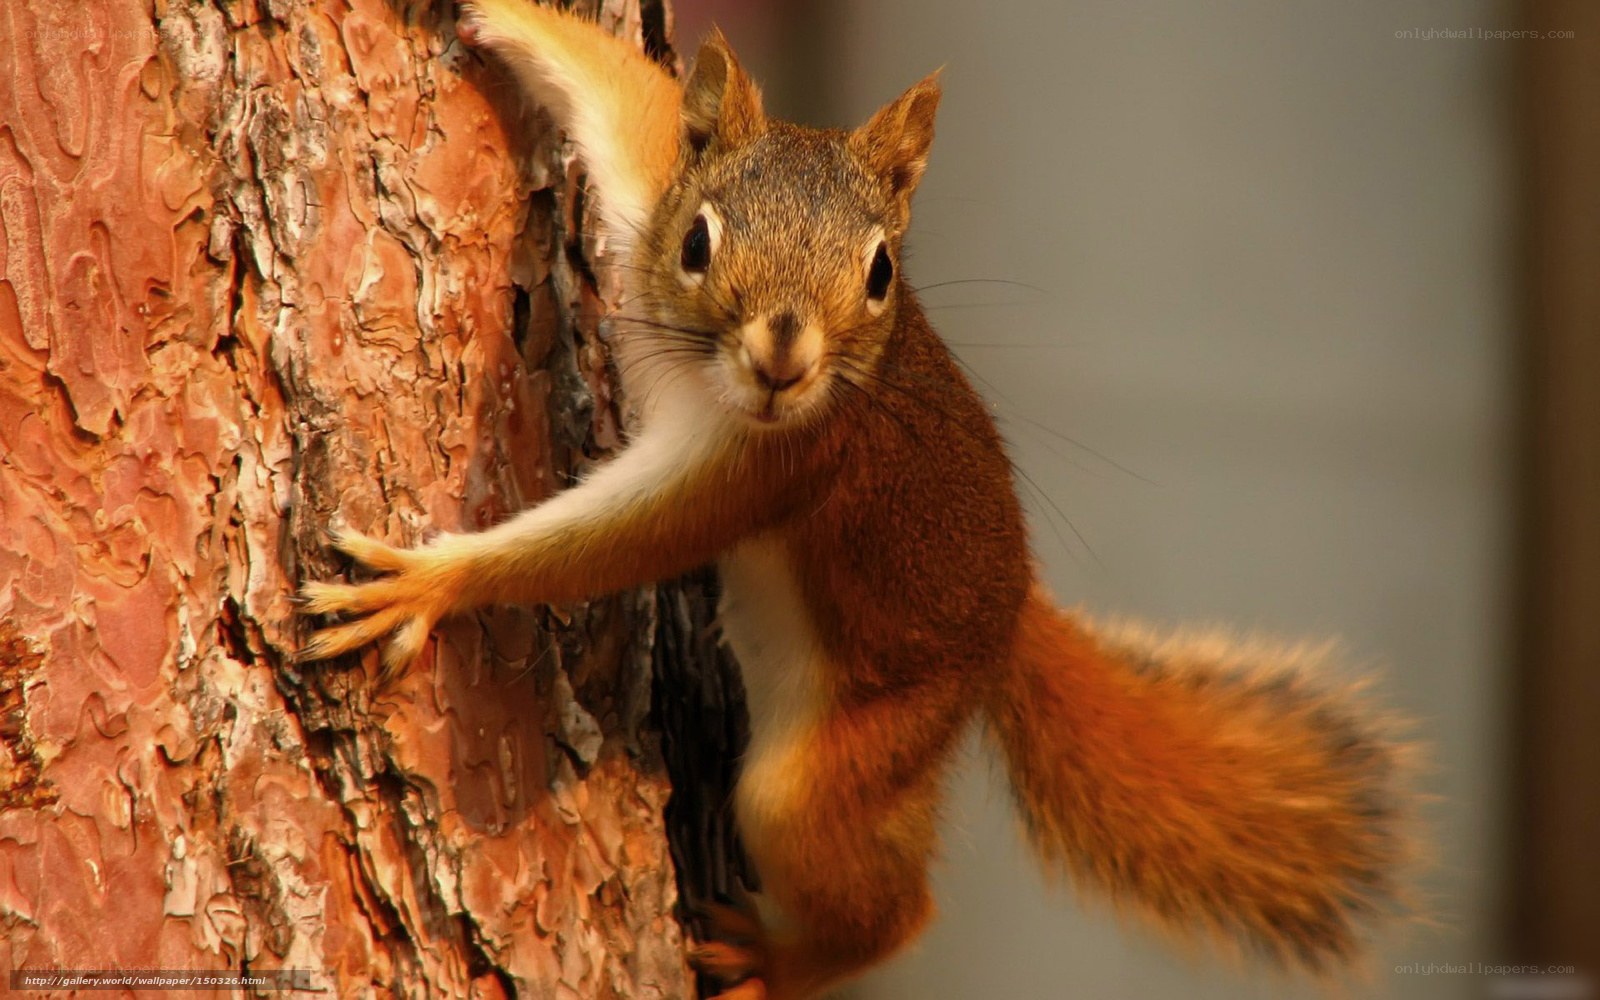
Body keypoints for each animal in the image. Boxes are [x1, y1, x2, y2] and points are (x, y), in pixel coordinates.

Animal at [299, 2, 1413, 997]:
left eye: (881, 271)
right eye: (697, 242)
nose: (783, 359)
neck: (707, 380)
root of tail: (1009, 618)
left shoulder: (772, 466)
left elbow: (614, 543)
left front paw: (429, 582)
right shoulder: (647, 195)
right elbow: (627, 100)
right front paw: (498, 14)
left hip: (854, 754)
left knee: (885, 904)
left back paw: (777, 963)